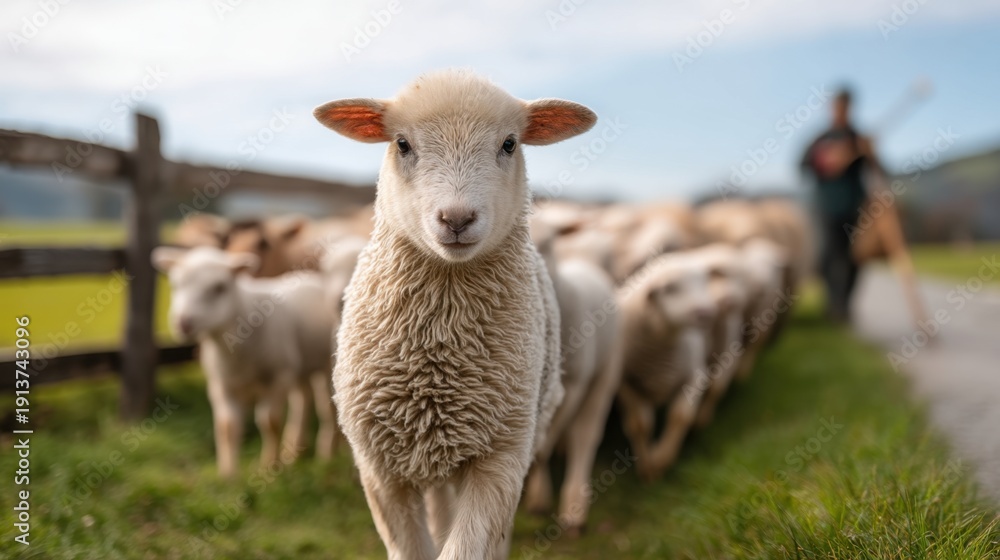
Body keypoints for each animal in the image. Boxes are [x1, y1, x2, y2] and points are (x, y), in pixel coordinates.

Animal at [151, 246, 339, 476]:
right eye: (176, 285)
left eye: (219, 287)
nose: (184, 323)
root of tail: (309, 276)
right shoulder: (221, 385)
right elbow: (227, 426)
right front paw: (228, 474)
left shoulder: (278, 377)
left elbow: (270, 422)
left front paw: (269, 466)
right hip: (299, 367)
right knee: (303, 399)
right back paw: (295, 452)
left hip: (325, 366)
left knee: (328, 408)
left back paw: (327, 455)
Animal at [313, 69, 596, 560]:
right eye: (402, 144)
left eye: (509, 144)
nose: (458, 219)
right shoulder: (379, 467)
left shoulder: (501, 458)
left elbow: (466, 547)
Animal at [523, 223, 624, 536]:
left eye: (548, 241)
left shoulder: (573, 385)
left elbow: (544, 446)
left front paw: (539, 497)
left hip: (605, 373)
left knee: (586, 437)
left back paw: (574, 510)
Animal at [617, 252, 715, 481]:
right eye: (670, 288)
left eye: (704, 282)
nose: (705, 312)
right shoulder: (626, 383)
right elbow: (641, 424)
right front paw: (648, 469)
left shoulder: (695, 375)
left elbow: (680, 416)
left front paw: (662, 458)